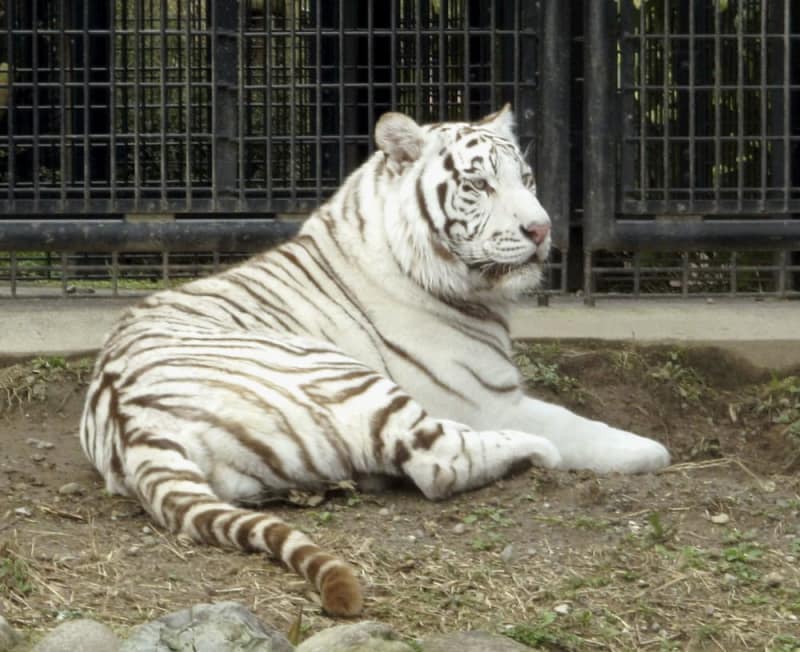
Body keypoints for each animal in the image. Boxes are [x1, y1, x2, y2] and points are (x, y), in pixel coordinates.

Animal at [81, 107, 668, 616]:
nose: (542, 230)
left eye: (526, 179)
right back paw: (530, 452)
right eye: (479, 185)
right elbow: (576, 425)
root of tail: (133, 424)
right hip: (347, 378)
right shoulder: (488, 401)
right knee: (440, 461)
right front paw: (649, 449)